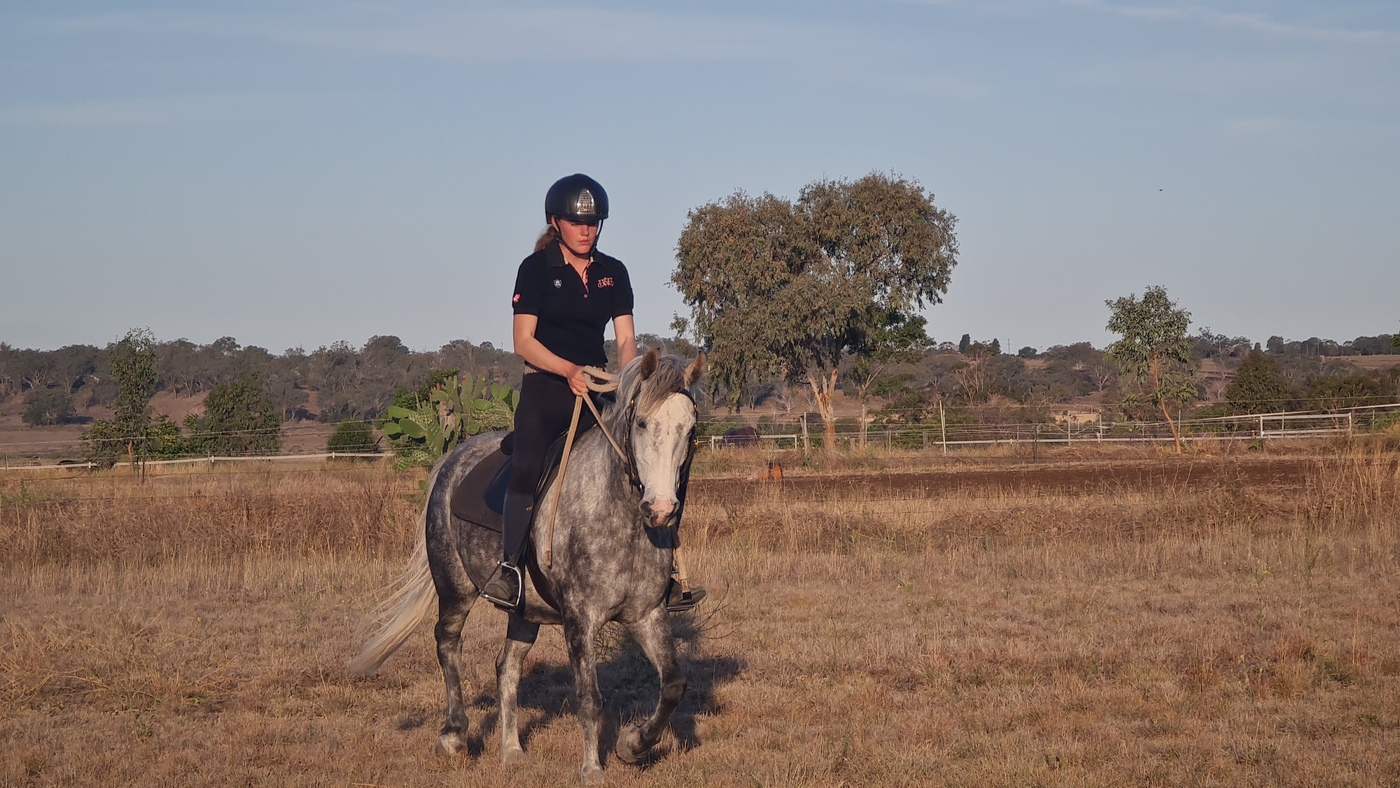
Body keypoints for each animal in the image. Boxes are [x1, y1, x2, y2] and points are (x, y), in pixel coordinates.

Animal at [348, 349, 704, 781]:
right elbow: (590, 698)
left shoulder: (647, 614)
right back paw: (453, 735)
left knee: (507, 668)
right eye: (641, 424)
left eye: (690, 429)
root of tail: (451, 458)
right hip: (454, 589)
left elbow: (673, 686)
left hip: (525, 611)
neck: (619, 513)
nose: (661, 510)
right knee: (447, 644)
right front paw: (592, 768)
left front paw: (633, 745)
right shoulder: (579, 619)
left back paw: (512, 749)